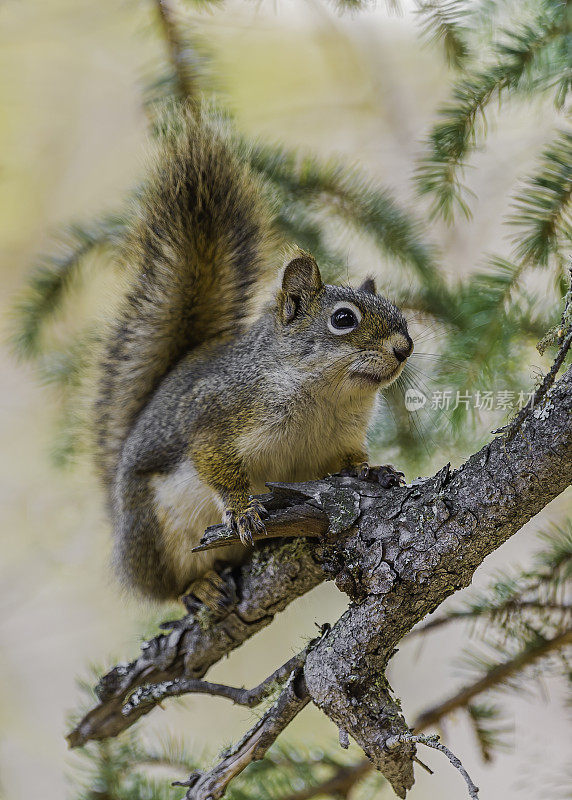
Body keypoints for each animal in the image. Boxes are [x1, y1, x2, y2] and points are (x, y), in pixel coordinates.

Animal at [94, 104, 412, 608]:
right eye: (344, 319)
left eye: (398, 312)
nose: (405, 348)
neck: (325, 396)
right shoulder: (218, 411)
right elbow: (217, 464)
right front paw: (242, 509)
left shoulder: (338, 439)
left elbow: (346, 462)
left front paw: (372, 470)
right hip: (154, 535)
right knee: (165, 588)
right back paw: (199, 586)